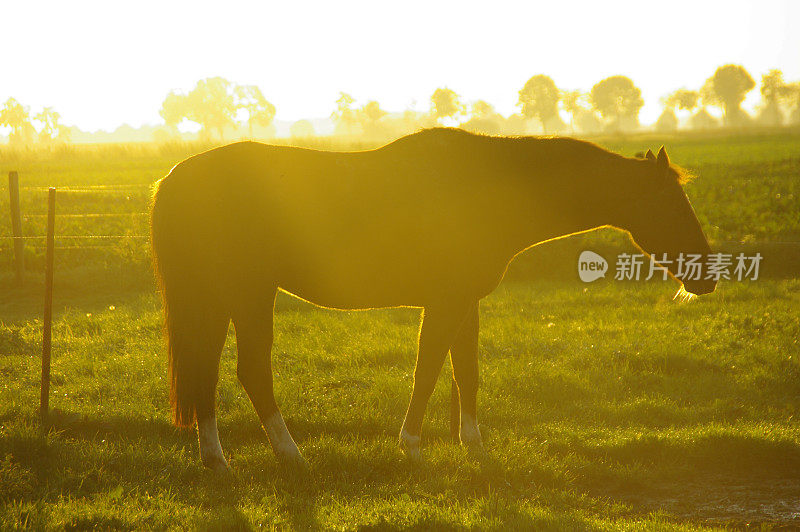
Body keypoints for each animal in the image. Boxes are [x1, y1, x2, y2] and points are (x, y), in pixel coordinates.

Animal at [152, 127, 720, 472]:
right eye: (671, 203)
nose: (707, 276)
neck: (484, 188)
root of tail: (178, 177)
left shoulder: (465, 301)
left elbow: (465, 372)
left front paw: (473, 444)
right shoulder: (444, 302)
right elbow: (427, 369)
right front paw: (412, 445)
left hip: (221, 297)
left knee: (207, 373)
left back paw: (216, 458)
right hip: (247, 293)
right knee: (250, 370)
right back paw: (289, 455)